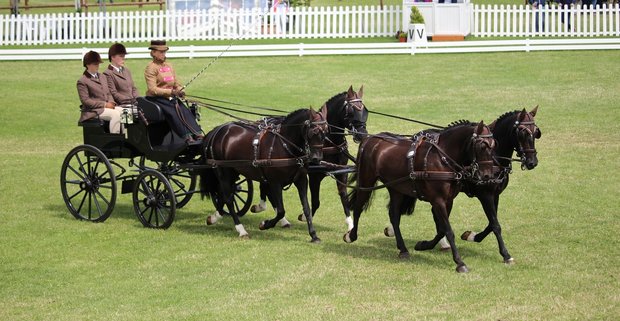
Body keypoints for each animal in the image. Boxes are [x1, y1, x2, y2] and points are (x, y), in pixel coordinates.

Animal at [202, 106, 330, 241]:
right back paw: (241, 229)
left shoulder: (301, 180)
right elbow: (281, 210)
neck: (285, 145)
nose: (316, 158)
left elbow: (306, 208)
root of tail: (217, 131)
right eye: (313, 131)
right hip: (223, 172)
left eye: (326, 131)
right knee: (228, 199)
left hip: (233, 172)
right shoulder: (275, 182)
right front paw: (265, 224)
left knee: (224, 194)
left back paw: (214, 217)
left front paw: (313, 235)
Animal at [249, 85, 368, 230]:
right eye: (351, 111)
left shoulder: (341, 173)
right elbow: (316, 201)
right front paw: (304, 217)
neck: (328, 142)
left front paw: (350, 224)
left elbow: (344, 196)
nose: (363, 134)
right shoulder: (314, 176)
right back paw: (266, 210)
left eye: (365, 111)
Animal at [344, 121, 494, 272]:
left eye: (494, 145)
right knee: (358, 207)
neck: (442, 158)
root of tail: (369, 139)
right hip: (366, 181)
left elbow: (442, 230)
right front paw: (459, 262)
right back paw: (351, 235)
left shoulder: (448, 200)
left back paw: (403, 249)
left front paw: (423, 245)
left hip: (396, 189)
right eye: (482, 146)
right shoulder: (438, 201)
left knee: (394, 216)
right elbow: (448, 230)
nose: (487, 175)